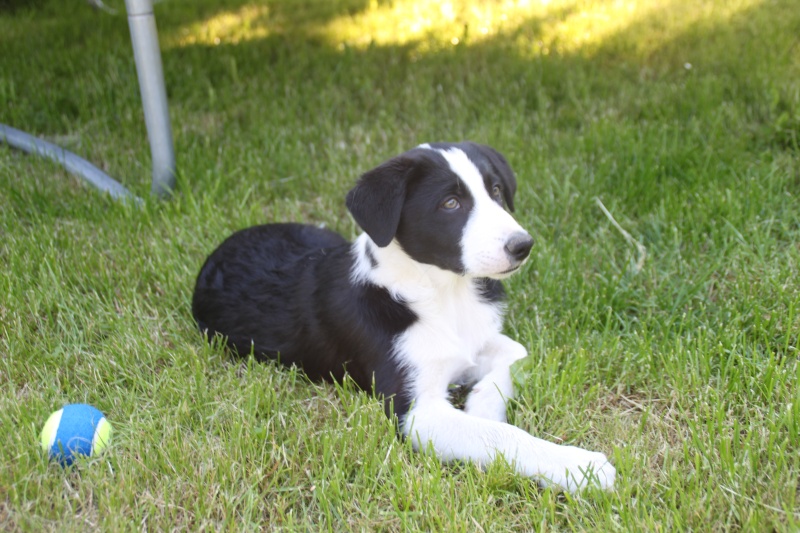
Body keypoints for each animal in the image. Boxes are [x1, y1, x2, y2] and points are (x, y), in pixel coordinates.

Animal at [191, 140, 616, 490]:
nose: (522, 245)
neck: (444, 294)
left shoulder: (481, 342)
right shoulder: (416, 413)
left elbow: (512, 360)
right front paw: (580, 468)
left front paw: (482, 406)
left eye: (496, 191)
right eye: (450, 203)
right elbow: (502, 435)